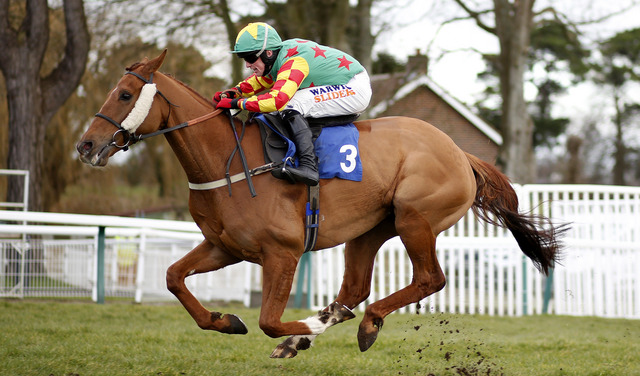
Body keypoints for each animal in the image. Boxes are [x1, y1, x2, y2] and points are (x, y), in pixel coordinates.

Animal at [74, 50, 564, 358]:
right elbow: (174, 278)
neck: (230, 163)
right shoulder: (224, 246)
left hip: (415, 218)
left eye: (123, 94)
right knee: (355, 288)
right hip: (370, 230)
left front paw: (302, 328)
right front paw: (228, 320)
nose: (86, 146)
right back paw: (329, 322)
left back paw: (360, 324)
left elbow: (270, 320)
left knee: (430, 279)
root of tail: (461, 153)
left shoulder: (283, 253)